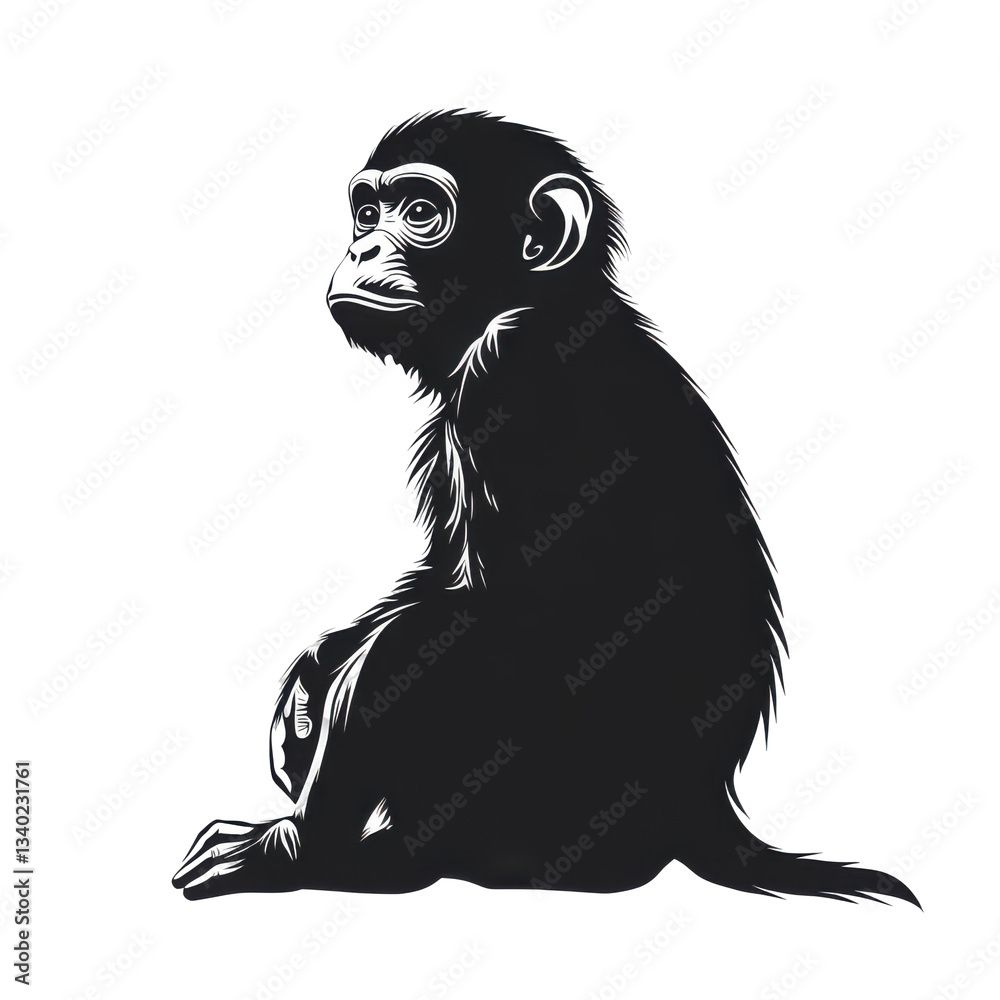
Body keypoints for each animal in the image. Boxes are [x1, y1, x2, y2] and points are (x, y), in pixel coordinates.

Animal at [173, 111, 918, 907]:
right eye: (367, 212)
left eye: (421, 211)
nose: (361, 247)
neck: (526, 303)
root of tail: (708, 815)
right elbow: (443, 573)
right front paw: (311, 677)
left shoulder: (508, 374)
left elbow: (498, 618)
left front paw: (290, 838)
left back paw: (331, 855)